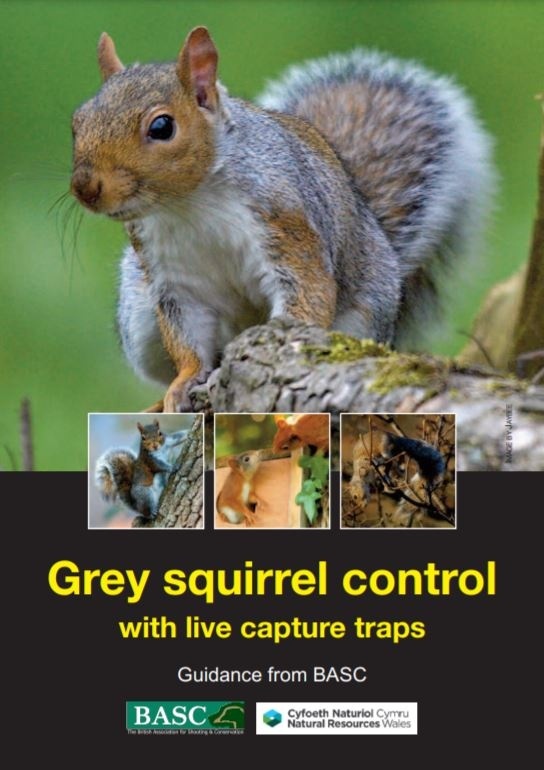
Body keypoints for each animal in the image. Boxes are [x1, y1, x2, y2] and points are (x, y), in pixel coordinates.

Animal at [71, 26, 493, 412]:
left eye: (162, 127)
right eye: (77, 122)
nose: (85, 187)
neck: (188, 203)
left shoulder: (288, 224)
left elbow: (307, 292)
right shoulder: (175, 279)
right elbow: (187, 338)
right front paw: (183, 382)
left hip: (368, 310)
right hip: (139, 315)